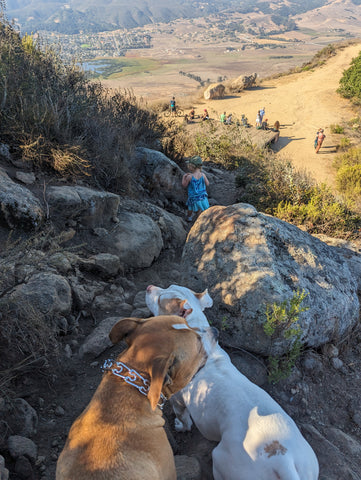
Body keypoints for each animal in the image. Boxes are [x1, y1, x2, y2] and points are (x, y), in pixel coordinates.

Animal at [145, 284, 316, 480]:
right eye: (170, 285)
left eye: (161, 300)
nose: (149, 287)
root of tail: (282, 460)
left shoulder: (177, 400)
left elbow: (184, 418)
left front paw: (181, 426)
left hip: (223, 460)